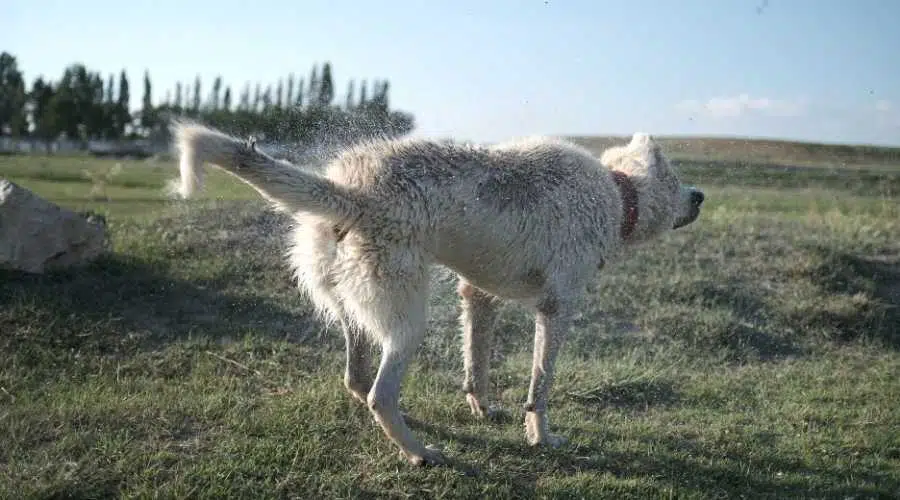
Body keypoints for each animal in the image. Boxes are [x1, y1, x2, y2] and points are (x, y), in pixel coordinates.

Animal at [169, 123, 704, 466]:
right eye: (678, 180)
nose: (700, 196)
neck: (617, 194)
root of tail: (350, 192)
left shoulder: (479, 297)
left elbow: (477, 367)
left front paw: (483, 410)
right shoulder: (557, 311)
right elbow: (541, 388)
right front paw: (540, 438)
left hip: (360, 314)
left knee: (356, 380)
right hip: (409, 321)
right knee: (380, 395)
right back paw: (419, 453)